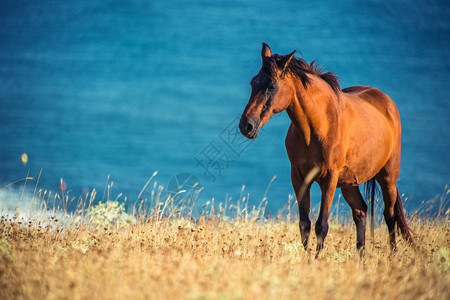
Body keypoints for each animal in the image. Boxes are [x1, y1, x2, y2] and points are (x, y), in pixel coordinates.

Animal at [241, 42, 414, 255]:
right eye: (253, 82)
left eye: (271, 86)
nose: (246, 126)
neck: (317, 127)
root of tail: (387, 102)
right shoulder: (299, 178)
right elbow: (304, 224)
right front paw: (307, 258)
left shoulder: (329, 179)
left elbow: (321, 225)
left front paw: (317, 259)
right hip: (350, 182)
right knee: (360, 211)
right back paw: (361, 256)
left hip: (388, 176)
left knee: (390, 215)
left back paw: (392, 254)